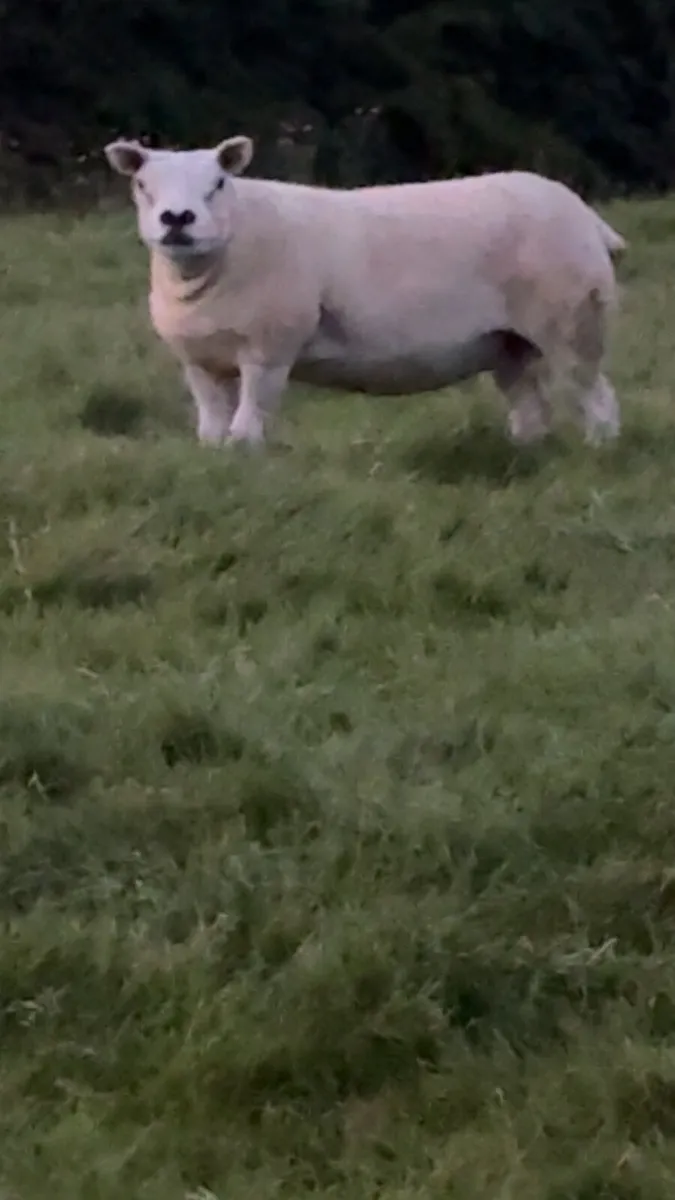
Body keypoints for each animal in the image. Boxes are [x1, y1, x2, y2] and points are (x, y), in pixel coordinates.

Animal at [104, 134, 627, 449]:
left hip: (571, 319)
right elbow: (211, 424)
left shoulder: (269, 348)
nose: (177, 219)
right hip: (508, 342)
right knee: (531, 406)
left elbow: (249, 420)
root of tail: (587, 216)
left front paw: (245, 457)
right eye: (142, 184)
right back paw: (525, 452)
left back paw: (600, 450)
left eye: (217, 183)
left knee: (597, 396)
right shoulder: (199, 360)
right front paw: (216, 458)